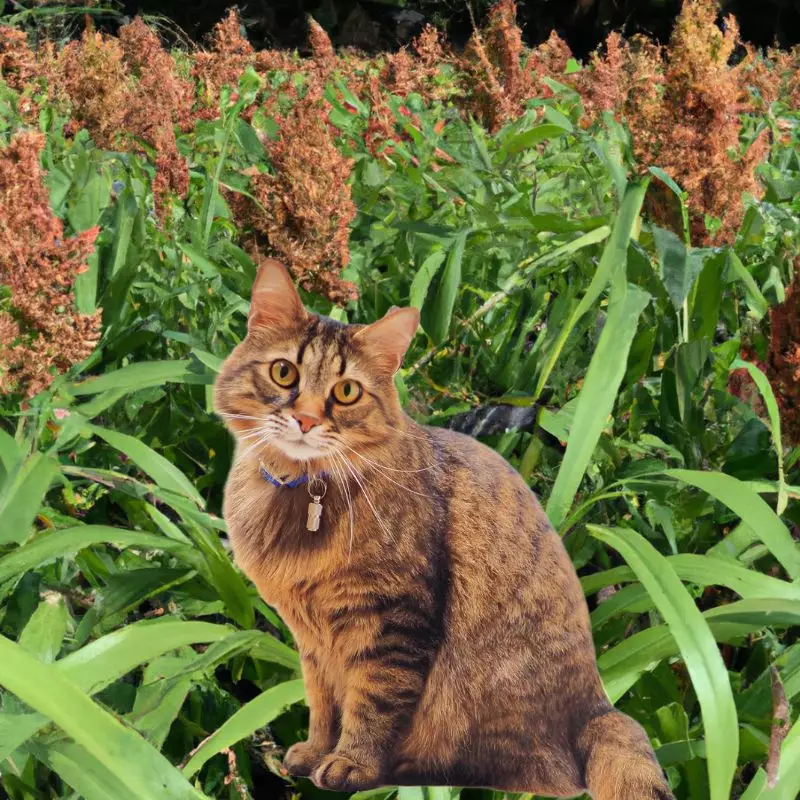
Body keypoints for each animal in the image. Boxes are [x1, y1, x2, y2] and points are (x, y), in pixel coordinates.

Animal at [216, 260, 672, 796]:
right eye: (283, 372)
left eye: (346, 392)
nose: (305, 421)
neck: (299, 494)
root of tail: (599, 708)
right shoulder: (312, 640)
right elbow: (323, 704)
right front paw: (312, 752)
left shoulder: (393, 619)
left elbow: (371, 705)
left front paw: (351, 765)